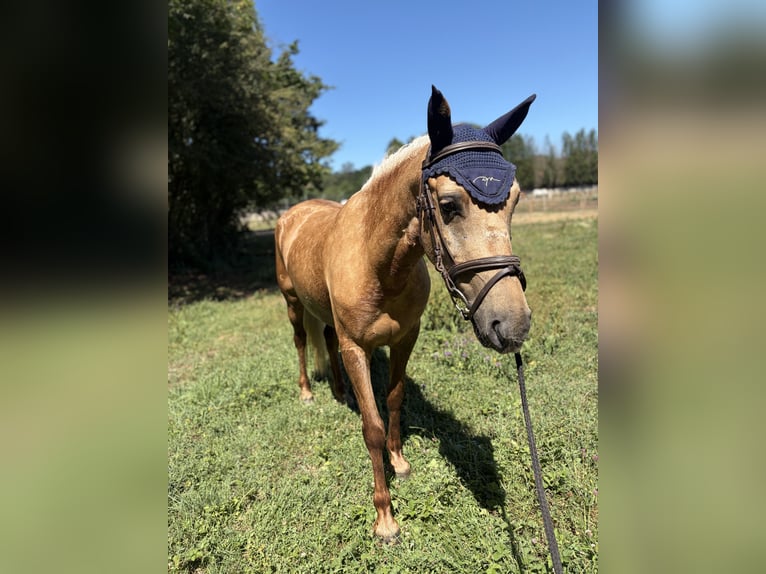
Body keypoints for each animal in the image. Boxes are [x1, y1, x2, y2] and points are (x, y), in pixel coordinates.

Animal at [275, 86, 535, 542]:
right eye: (448, 205)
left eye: (516, 200)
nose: (512, 325)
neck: (377, 263)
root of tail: (293, 213)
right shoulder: (357, 349)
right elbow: (372, 427)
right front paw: (385, 519)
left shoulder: (404, 338)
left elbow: (394, 400)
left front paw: (399, 462)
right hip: (292, 304)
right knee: (302, 341)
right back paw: (307, 392)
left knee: (325, 339)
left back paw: (340, 393)